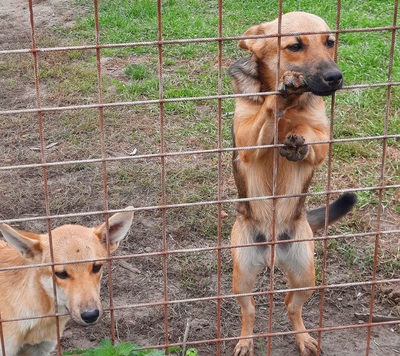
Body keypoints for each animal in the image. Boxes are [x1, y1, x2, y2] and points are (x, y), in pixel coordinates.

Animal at [230, 11, 358, 356]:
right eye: (295, 46)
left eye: (330, 42)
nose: (335, 77)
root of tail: (273, 250)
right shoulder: (246, 138)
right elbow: (265, 114)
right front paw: (281, 95)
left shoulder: (321, 136)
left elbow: (310, 135)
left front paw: (297, 140)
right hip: (242, 274)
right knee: (249, 311)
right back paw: (245, 341)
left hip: (304, 272)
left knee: (291, 304)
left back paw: (304, 338)